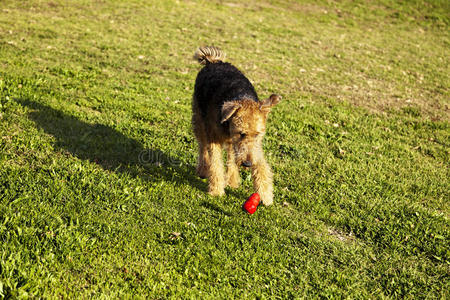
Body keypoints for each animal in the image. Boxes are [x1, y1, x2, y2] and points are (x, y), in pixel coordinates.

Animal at [192, 45, 282, 205]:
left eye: (258, 134)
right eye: (242, 133)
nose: (247, 164)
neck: (241, 96)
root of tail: (213, 61)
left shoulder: (255, 146)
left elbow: (261, 165)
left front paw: (265, 194)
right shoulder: (214, 137)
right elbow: (216, 164)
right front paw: (216, 191)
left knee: (230, 156)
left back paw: (232, 180)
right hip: (199, 119)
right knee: (202, 146)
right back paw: (203, 170)